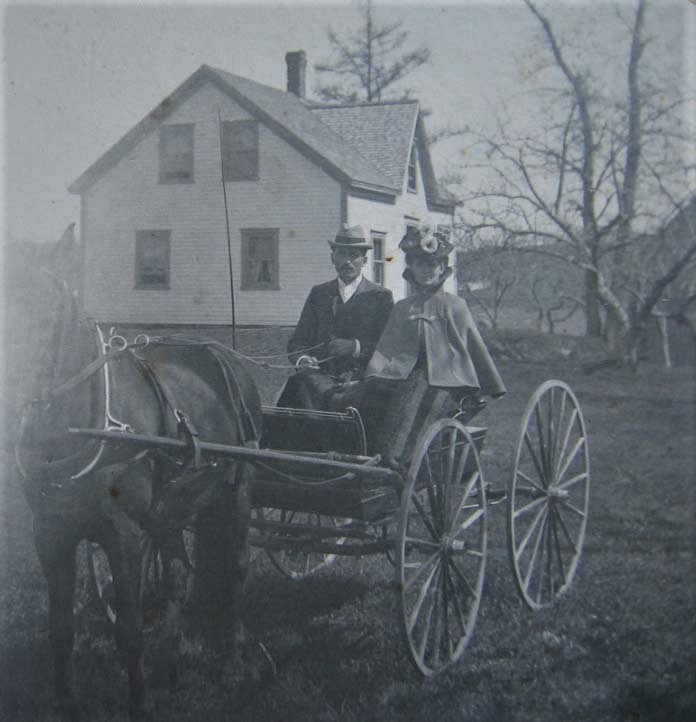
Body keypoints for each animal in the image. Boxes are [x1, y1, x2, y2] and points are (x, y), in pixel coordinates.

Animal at [13, 278, 264, 716]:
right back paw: (171, 661)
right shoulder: (49, 533)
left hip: (236, 495)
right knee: (177, 575)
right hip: (173, 510)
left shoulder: (124, 535)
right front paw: (65, 702)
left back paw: (230, 665)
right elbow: (61, 627)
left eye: (45, 308)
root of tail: (223, 356)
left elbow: (129, 628)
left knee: (236, 570)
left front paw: (140, 703)